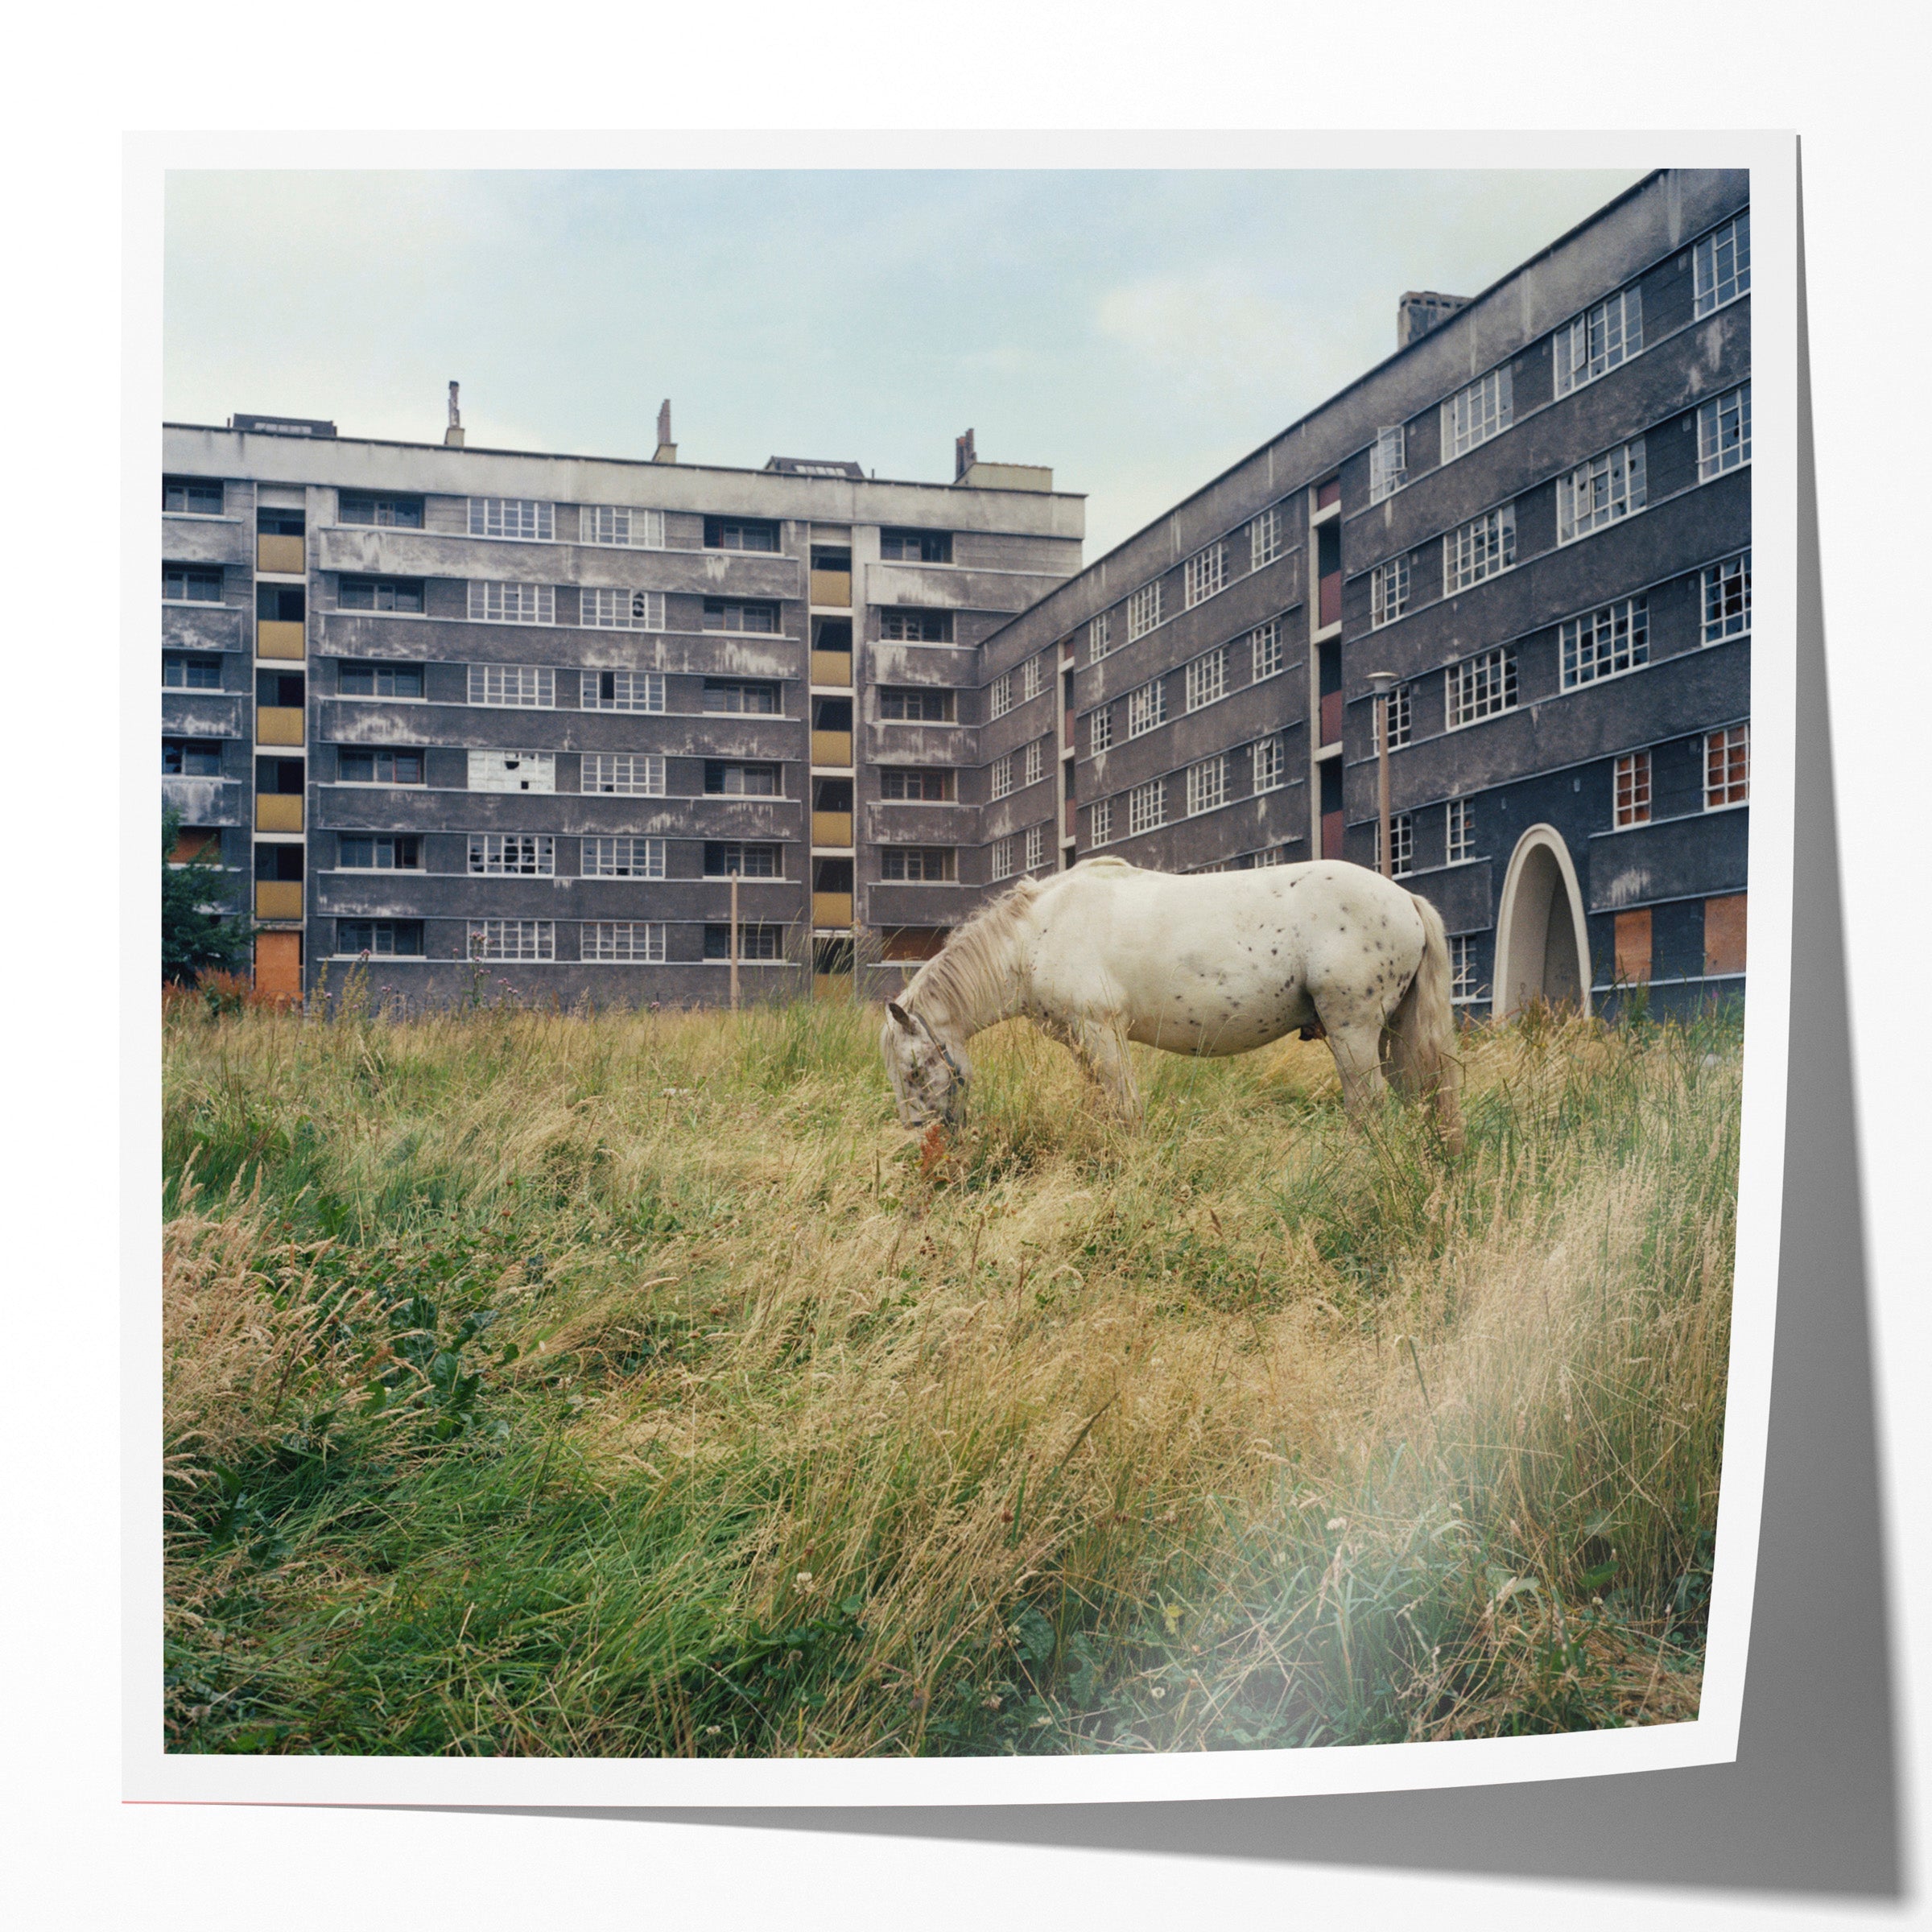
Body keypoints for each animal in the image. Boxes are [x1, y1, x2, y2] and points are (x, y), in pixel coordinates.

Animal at [881, 857, 1460, 1151]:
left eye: (914, 1071)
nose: (921, 1142)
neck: (1034, 935)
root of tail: (1405, 899)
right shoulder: (1083, 1044)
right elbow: (1105, 1109)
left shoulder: (1102, 1032)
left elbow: (1126, 1110)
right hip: (1389, 1035)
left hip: (1353, 1032)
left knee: (1368, 1107)